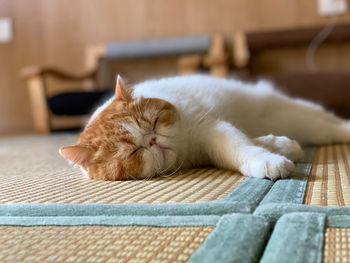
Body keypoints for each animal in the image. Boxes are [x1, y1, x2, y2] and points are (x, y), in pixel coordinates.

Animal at [59, 75, 350, 180]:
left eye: (154, 123)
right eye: (132, 152)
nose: (152, 140)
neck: (186, 152)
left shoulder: (212, 128)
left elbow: (241, 146)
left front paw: (269, 160)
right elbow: (250, 142)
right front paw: (282, 147)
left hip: (299, 115)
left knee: (332, 123)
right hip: (299, 123)